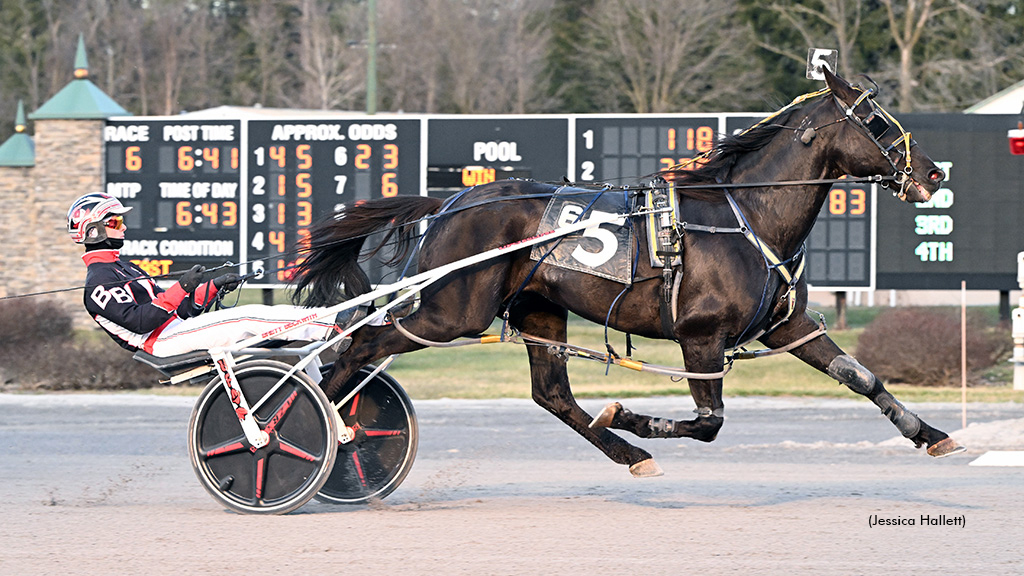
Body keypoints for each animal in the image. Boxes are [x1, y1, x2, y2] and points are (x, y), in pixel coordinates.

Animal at [292, 70, 962, 475]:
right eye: (874, 120)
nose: (933, 173)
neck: (746, 215)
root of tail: (453, 199)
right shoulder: (700, 335)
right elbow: (709, 423)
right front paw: (631, 414)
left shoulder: (785, 326)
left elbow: (862, 377)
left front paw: (930, 433)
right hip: (449, 309)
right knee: (360, 344)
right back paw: (311, 423)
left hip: (536, 307)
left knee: (552, 395)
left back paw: (626, 452)